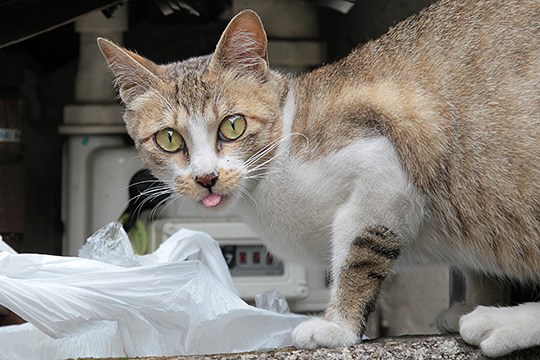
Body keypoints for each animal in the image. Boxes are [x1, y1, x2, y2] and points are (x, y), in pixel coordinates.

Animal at [98, 0, 540, 356]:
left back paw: (503, 324)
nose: (206, 177)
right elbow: (480, 267)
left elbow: (357, 251)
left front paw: (337, 326)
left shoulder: (386, 160)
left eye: (233, 125)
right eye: (169, 139)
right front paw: (480, 298)